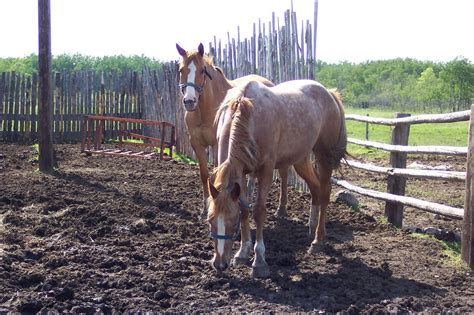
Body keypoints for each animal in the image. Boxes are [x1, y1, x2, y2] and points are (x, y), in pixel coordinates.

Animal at [176, 43, 290, 221]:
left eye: (202, 70)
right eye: (181, 70)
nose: (189, 101)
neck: (205, 109)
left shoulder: (217, 145)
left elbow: (216, 172)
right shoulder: (196, 143)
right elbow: (204, 174)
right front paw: (204, 210)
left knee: (284, 172)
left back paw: (281, 209)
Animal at [207, 79, 348, 278]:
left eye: (232, 223)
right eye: (210, 220)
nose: (220, 264)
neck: (247, 115)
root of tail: (329, 93)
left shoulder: (266, 170)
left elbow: (258, 211)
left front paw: (259, 261)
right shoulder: (241, 172)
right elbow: (244, 208)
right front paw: (242, 252)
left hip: (324, 156)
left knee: (325, 192)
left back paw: (318, 240)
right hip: (301, 159)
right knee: (315, 188)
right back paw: (311, 228)